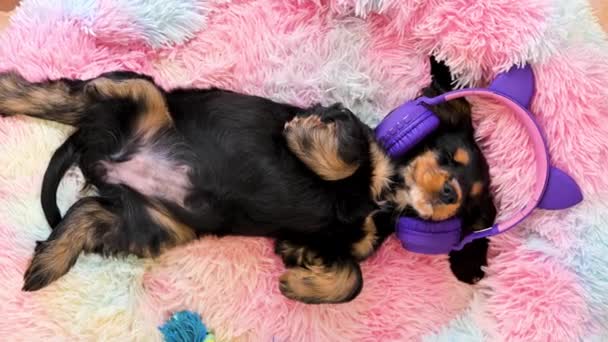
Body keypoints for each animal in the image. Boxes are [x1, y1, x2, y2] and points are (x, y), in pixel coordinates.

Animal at [0, 56, 494, 304]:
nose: (449, 193)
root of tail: (100, 155)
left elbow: (351, 277)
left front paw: (301, 282)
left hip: (151, 227)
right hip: (138, 97)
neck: (386, 199)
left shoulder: (320, 241)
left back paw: (47, 263)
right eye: (448, 157)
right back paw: (11, 92)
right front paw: (303, 135)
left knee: (86, 211)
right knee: (69, 95)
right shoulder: (346, 126)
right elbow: (351, 151)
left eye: (471, 201)